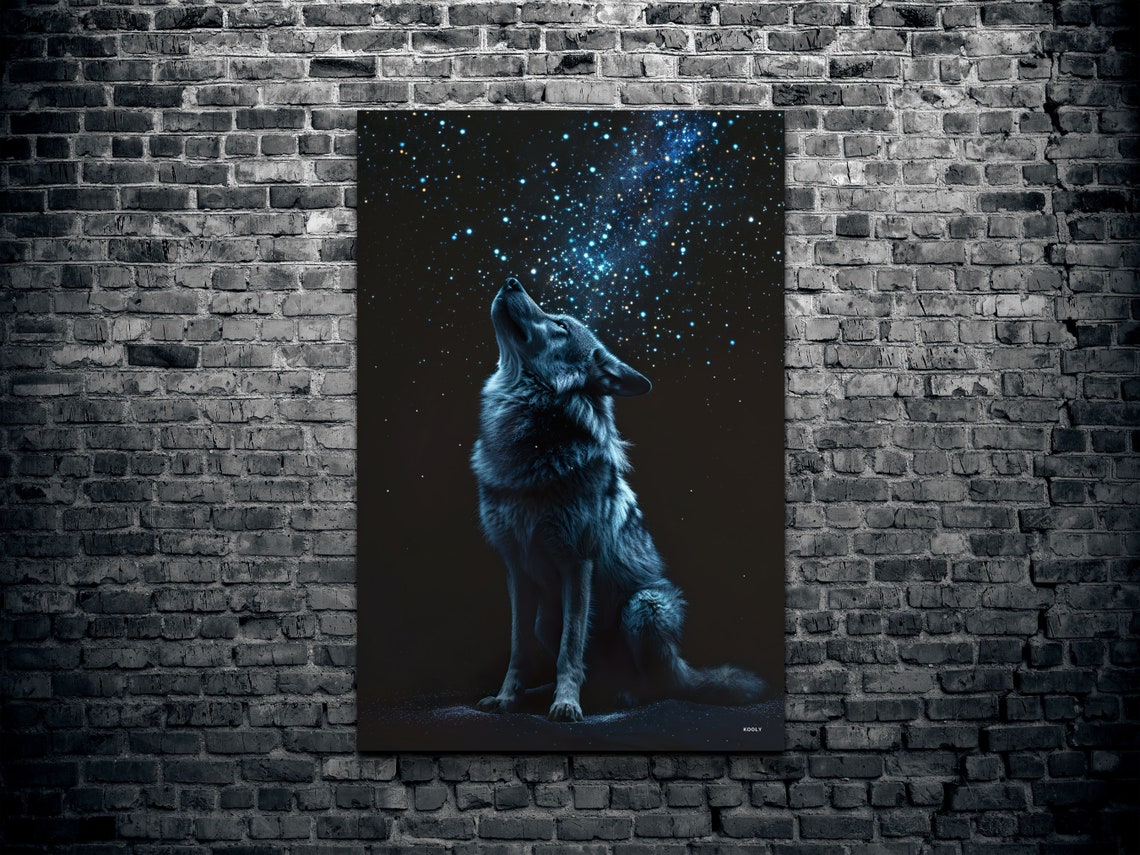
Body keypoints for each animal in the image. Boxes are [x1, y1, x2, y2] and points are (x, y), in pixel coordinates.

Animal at [470, 277, 765, 722]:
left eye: (560, 325)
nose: (511, 281)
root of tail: (682, 667)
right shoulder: (516, 571)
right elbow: (518, 649)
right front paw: (507, 698)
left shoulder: (577, 563)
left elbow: (570, 648)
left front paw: (566, 703)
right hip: (546, 618)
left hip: (644, 607)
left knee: (658, 685)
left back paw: (620, 695)